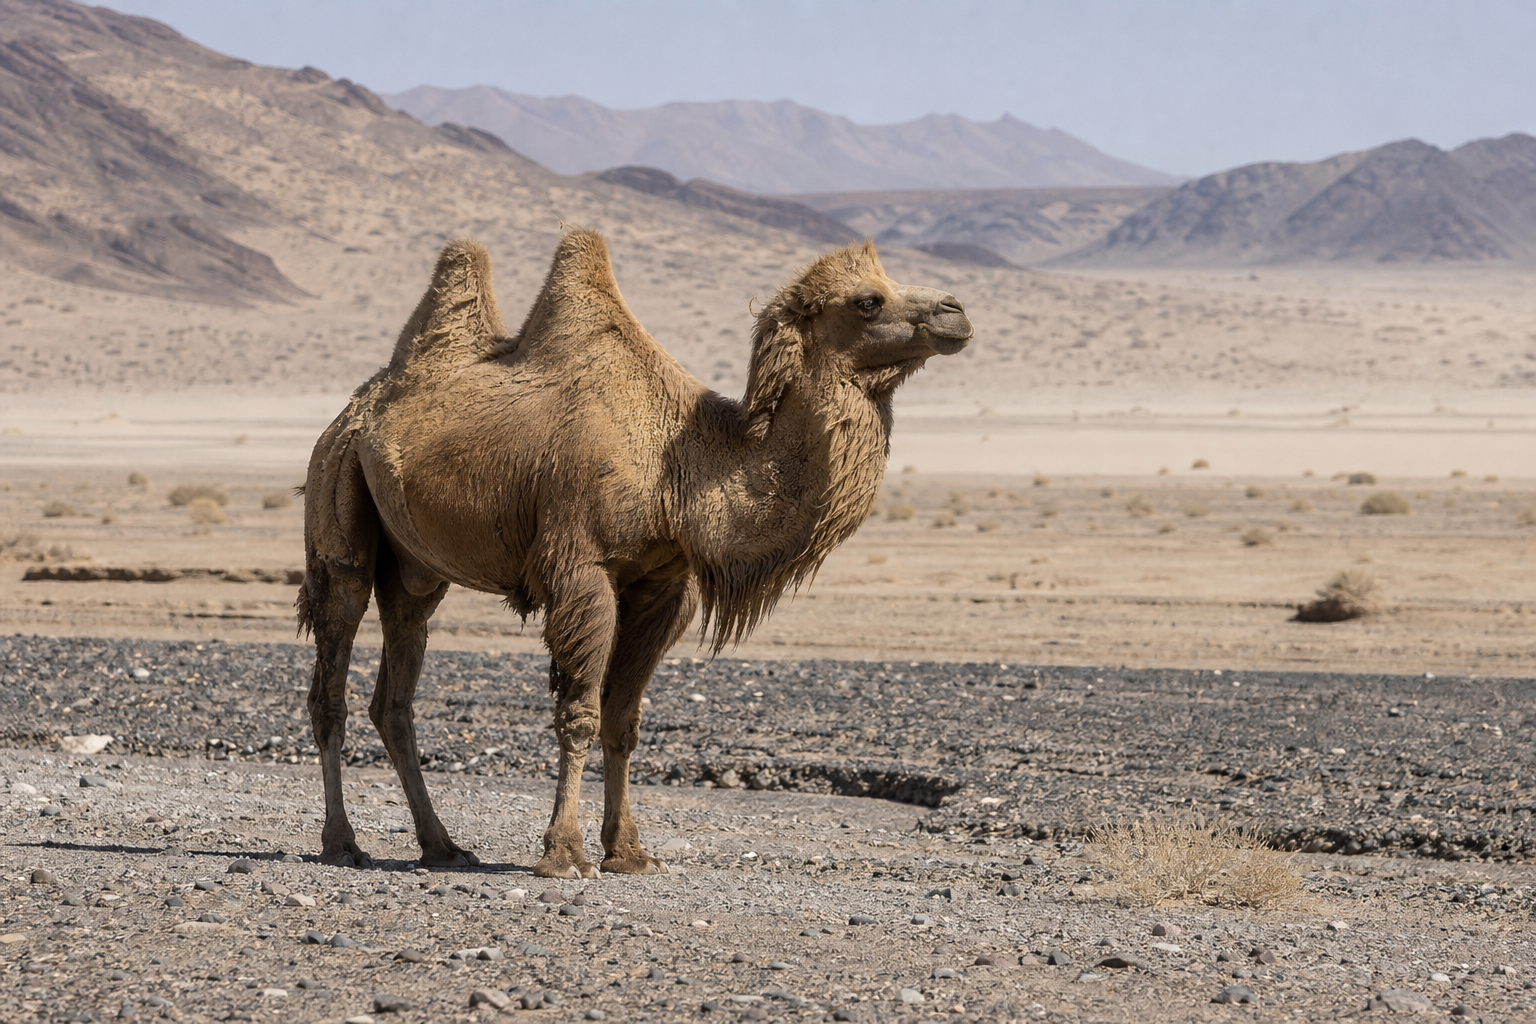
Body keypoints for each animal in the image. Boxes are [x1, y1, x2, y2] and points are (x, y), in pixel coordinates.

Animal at [299, 229, 972, 877]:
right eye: (868, 300)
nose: (957, 311)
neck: (680, 465)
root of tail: (350, 413)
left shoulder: (664, 584)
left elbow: (623, 720)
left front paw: (629, 853)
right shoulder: (581, 570)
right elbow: (580, 712)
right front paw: (564, 855)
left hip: (415, 571)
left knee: (395, 693)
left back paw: (441, 847)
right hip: (338, 500)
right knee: (332, 678)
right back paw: (342, 844)